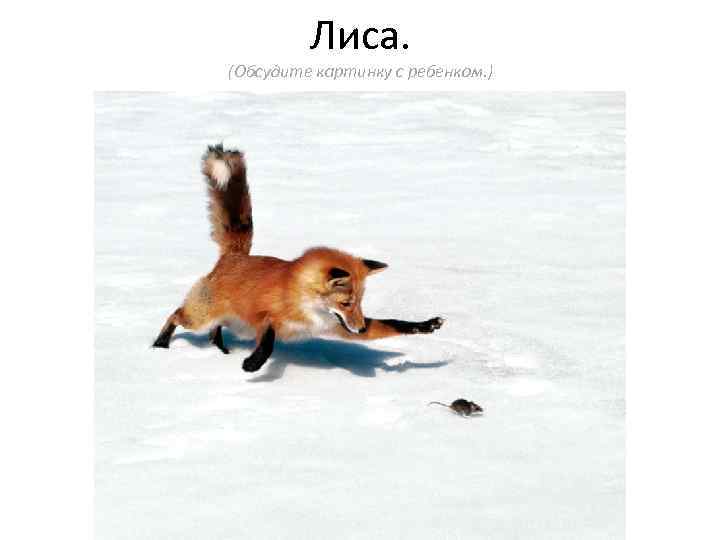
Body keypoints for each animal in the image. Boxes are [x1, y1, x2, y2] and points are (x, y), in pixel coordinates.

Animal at [152, 144, 445, 372]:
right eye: (346, 303)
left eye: (360, 303)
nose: (361, 328)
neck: (304, 303)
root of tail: (235, 255)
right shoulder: (266, 317)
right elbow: (268, 341)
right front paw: (253, 364)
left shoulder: (337, 327)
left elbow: (394, 324)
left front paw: (426, 325)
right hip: (200, 317)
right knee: (175, 315)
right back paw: (159, 345)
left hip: (225, 321)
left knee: (214, 330)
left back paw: (219, 349)